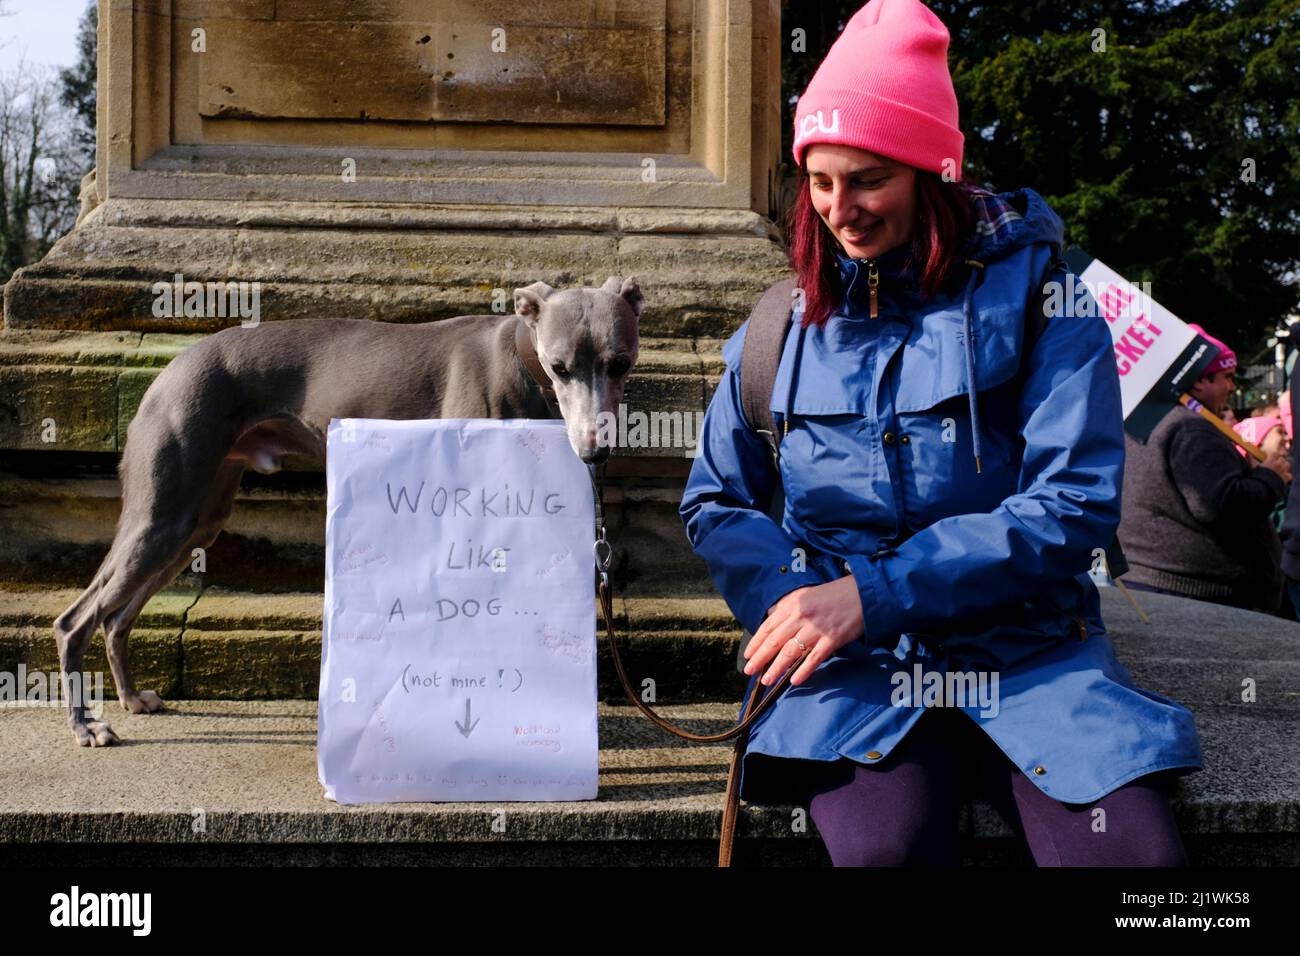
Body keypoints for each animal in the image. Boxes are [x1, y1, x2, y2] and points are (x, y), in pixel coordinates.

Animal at [55, 277, 644, 749]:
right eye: (560, 367)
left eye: (620, 363)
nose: (594, 452)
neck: (521, 357)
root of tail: (167, 373)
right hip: (163, 512)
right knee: (75, 620)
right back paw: (86, 726)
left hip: (196, 522)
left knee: (116, 616)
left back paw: (132, 697)